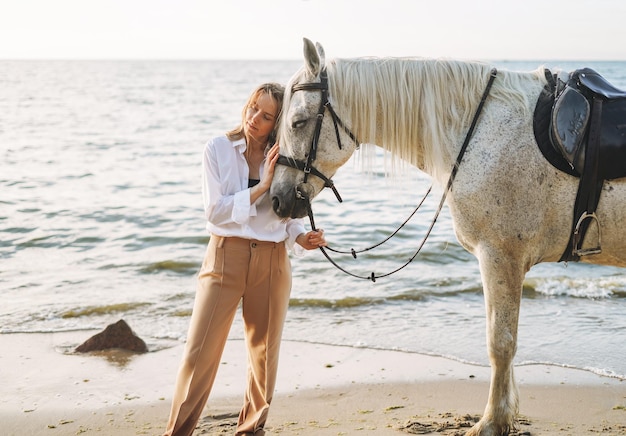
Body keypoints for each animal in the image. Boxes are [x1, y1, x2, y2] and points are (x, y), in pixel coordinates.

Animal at [270, 39, 626, 434]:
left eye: (298, 122)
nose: (277, 198)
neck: (482, 128)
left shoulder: (500, 256)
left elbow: (501, 343)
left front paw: (492, 421)